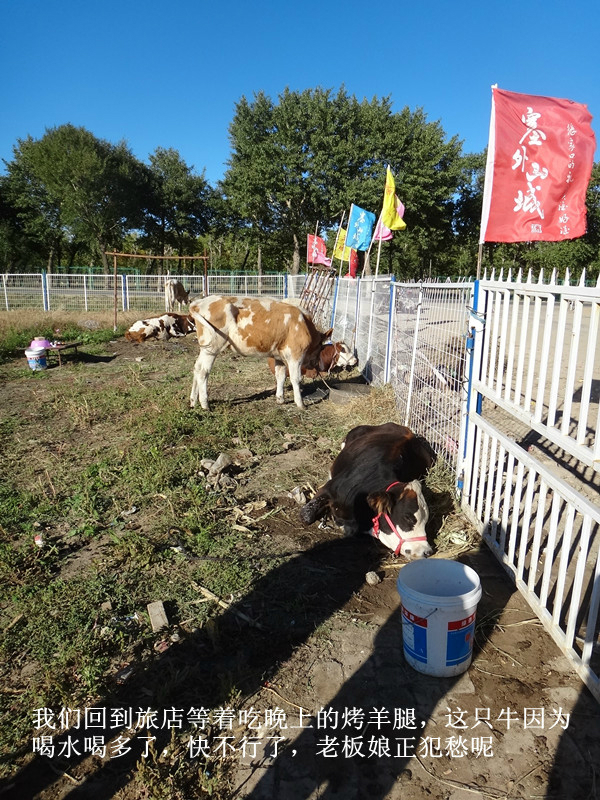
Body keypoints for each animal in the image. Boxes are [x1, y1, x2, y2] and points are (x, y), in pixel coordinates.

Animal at [189, 294, 332, 410]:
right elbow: (296, 379)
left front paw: (280, 399)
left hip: (205, 348)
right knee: (203, 372)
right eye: (321, 347)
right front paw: (300, 403)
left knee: (197, 368)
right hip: (212, 348)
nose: (317, 365)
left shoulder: (279, 356)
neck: (304, 324)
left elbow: (280, 376)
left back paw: (193, 401)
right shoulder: (295, 355)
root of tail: (200, 302)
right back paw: (205, 404)